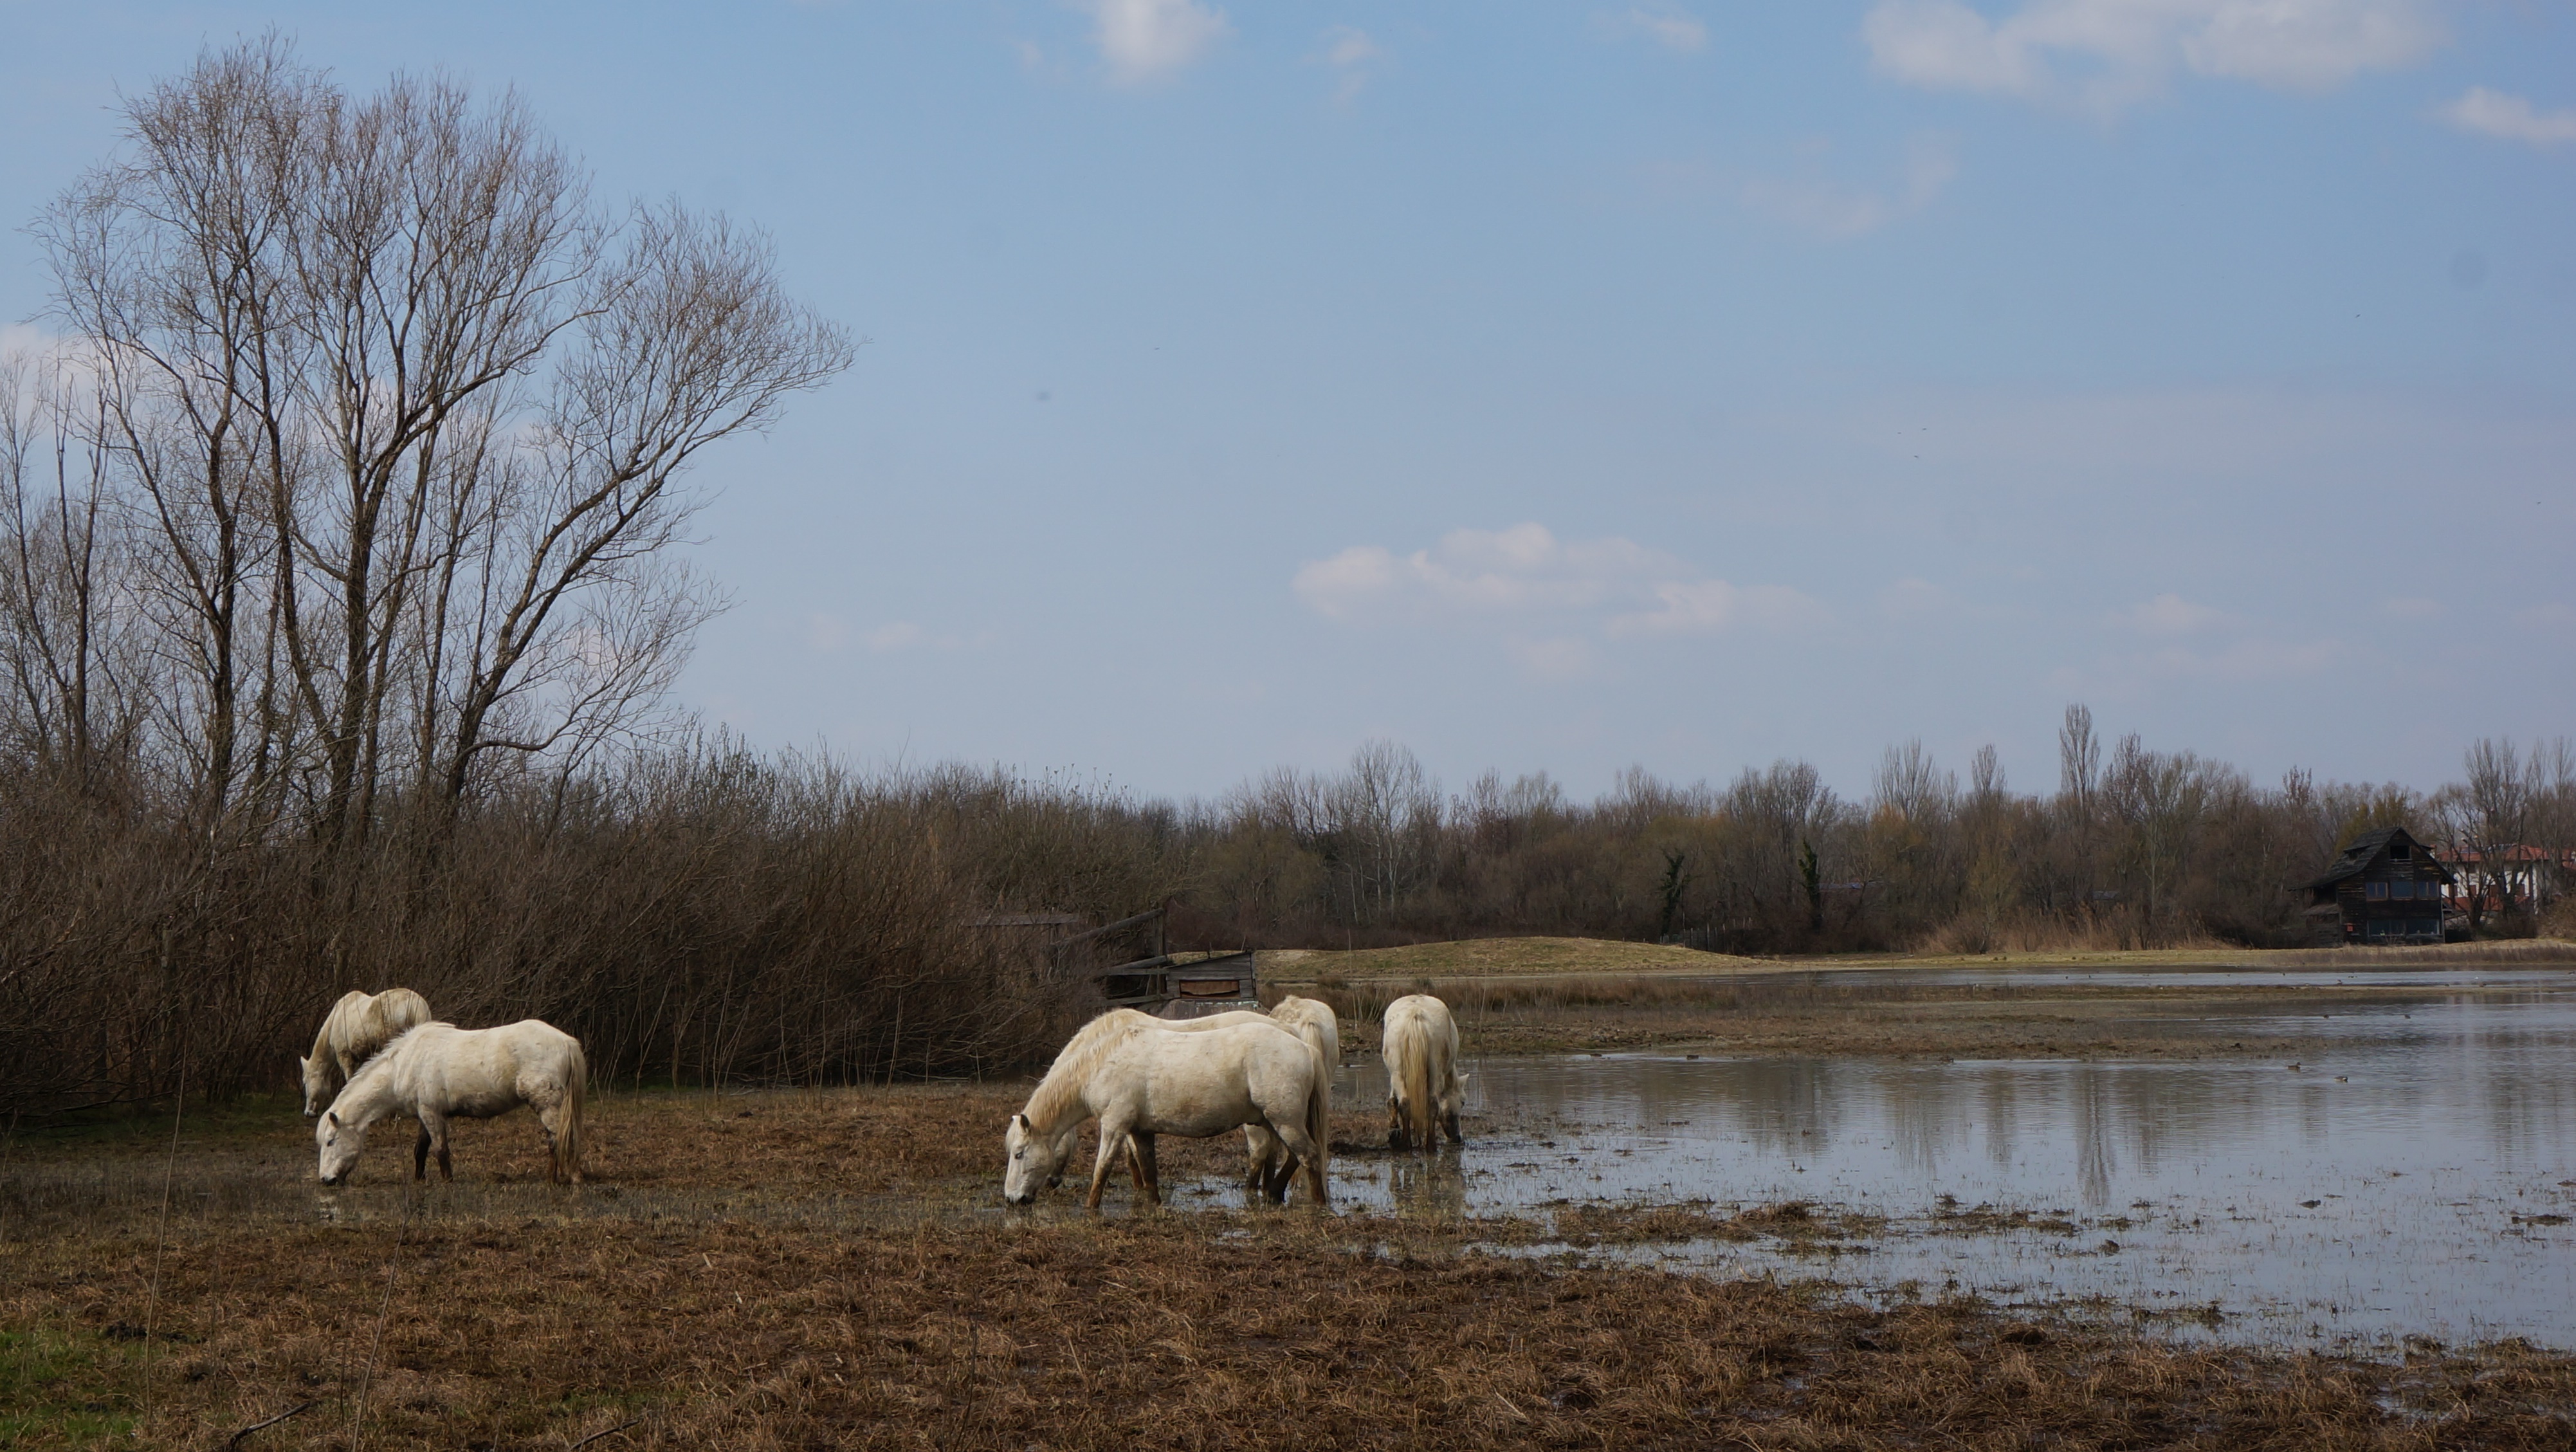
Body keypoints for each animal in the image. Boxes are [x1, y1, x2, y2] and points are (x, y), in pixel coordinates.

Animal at [297, 988, 432, 1122]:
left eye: (305, 1082)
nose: (308, 1113)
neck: (334, 1022)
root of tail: (416, 1006)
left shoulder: (344, 1054)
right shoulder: (362, 1056)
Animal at [316, 1014, 590, 1184]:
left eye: (331, 1141)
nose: (326, 1180)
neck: (403, 1065)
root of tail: (566, 1043)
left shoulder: (432, 1114)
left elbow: (441, 1150)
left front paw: (447, 1182)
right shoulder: (425, 1114)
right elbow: (420, 1150)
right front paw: (419, 1180)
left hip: (549, 1107)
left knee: (562, 1140)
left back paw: (570, 1179)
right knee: (555, 1142)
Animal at [1004, 1014, 1329, 1209]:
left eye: (1019, 1154)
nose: (1011, 1199)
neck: (1102, 1063)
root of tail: (1302, 1045)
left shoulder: (1114, 1126)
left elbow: (1102, 1170)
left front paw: (1090, 1210)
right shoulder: (1141, 1131)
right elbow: (1148, 1172)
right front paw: (1154, 1206)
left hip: (1284, 1120)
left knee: (1308, 1157)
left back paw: (1318, 1205)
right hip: (1273, 1121)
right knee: (1290, 1157)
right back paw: (1272, 1192)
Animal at [1380, 993, 1463, 1153]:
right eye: (1463, 1102)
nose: (1458, 1138)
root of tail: (1416, 1014)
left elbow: (1393, 1100)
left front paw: (1394, 1130)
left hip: (1399, 1072)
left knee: (1409, 1103)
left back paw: (1409, 1145)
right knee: (1428, 1104)